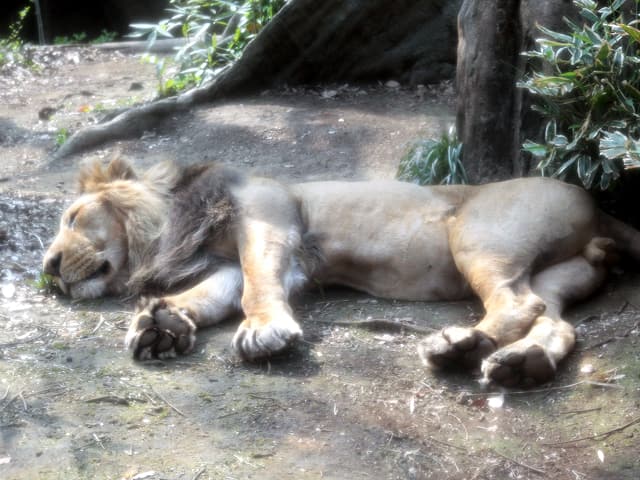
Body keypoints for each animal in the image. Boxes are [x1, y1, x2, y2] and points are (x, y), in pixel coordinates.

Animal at [43, 158, 640, 386]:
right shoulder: (238, 263)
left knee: (519, 305)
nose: (48, 269)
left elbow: (257, 286)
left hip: (478, 237)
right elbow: (213, 294)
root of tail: (599, 205)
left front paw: (265, 332)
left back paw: (457, 346)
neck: (172, 224)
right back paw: (522, 362)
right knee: (554, 320)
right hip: (558, 272)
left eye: (72, 218)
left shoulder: (269, 217)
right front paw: (162, 326)